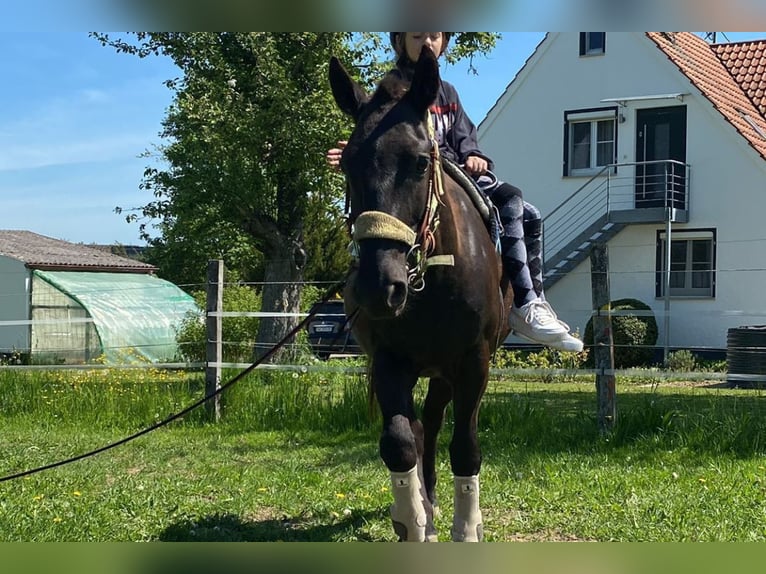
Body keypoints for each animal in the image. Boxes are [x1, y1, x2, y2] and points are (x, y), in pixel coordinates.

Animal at [328, 46, 512, 544]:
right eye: (347, 164)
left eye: (420, 162)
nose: (379, 287)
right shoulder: (389, 360)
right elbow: (398, 441)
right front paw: (413, 523)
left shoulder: (473, 362)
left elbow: (465, 446)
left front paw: (466, 529)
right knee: (417, 428)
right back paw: (422, 508)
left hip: (444, 372)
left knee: (432, 423)